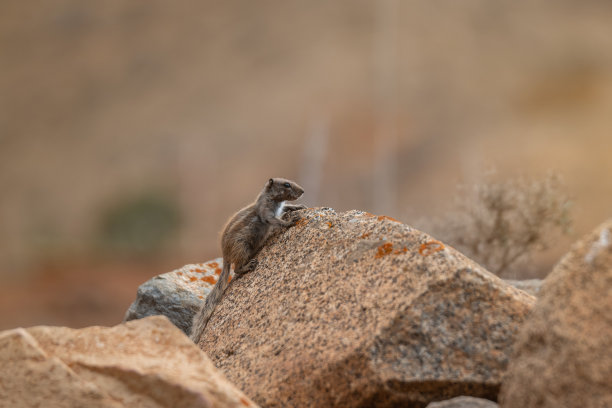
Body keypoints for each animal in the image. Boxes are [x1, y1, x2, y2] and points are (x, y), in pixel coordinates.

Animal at [189, 177, 306, 342]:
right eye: (286, 184)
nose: (303, 191)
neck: (271, 199)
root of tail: (225, 256)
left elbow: (286, 208)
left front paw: (297, 207)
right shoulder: (266, 212)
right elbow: (275, 220)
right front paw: (289, 222)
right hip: (242, 247)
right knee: (237, 269)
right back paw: (248, 266)